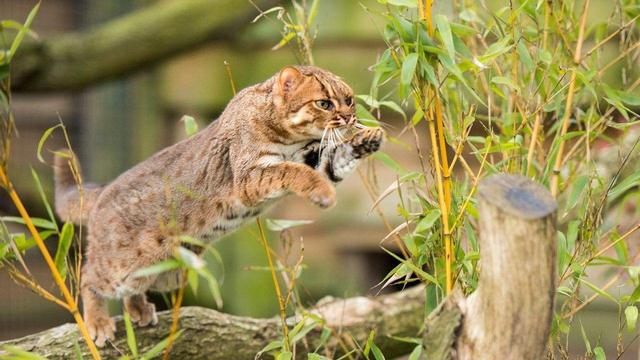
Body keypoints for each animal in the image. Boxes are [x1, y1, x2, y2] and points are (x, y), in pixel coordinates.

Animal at [52, 64, 382, 346]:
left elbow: (335, 157)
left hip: (167, 273)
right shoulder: (251, 177)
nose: (350, 117)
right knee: (87, 275)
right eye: (324, 103)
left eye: (349, 100)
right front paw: (323, 191)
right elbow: (293, 171)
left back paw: (138, 309)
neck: (288, 135)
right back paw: (96, 322)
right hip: (124, 265)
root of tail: (103, 190)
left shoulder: (314, 158)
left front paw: (368, 136)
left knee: (132, 288)